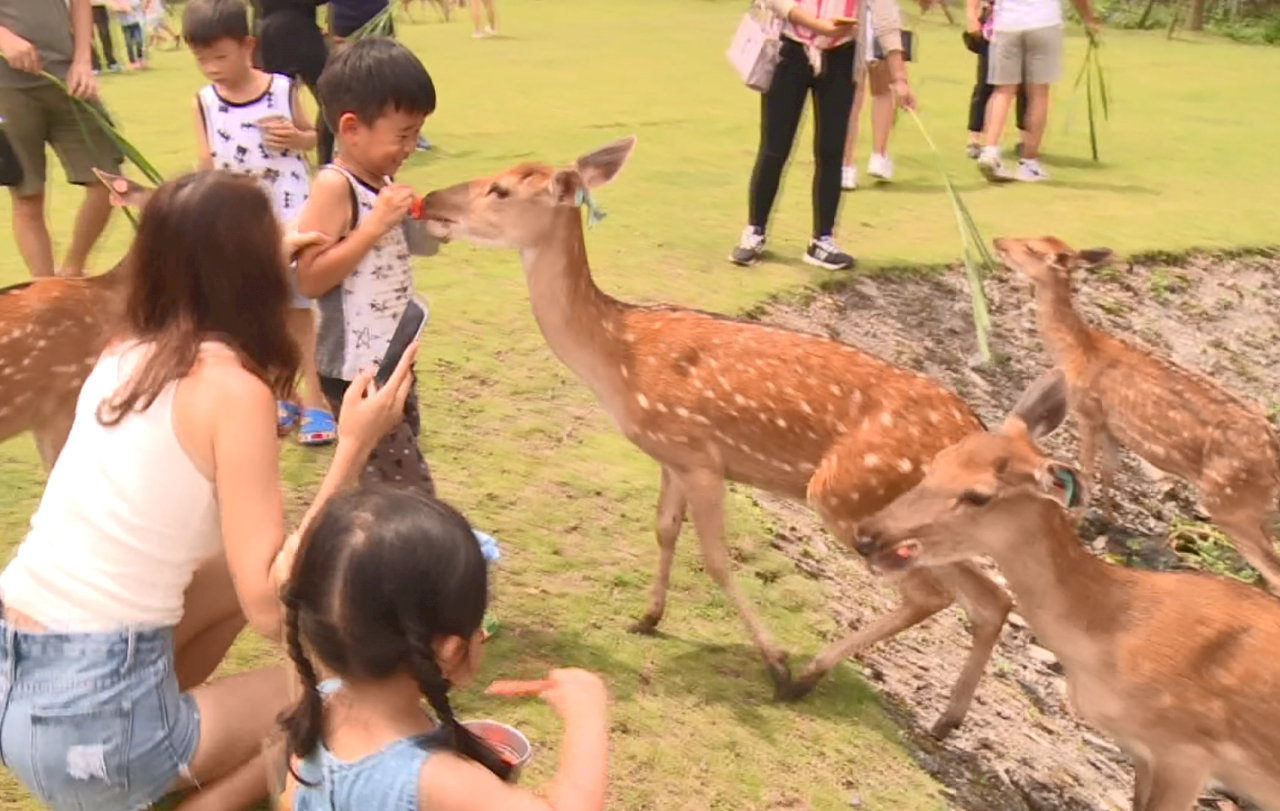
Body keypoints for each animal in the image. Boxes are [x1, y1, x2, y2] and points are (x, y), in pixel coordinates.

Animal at [419, 137, 1018, 731]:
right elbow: (664, 530)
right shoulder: (670, 457)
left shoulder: (701, 458)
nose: (429, 200)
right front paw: (647, 617)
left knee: (930, 594)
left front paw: (775, 662)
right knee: (992, 599)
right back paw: (946, 719)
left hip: (850, 496)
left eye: (500, 189)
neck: (617, 360)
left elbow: (715, 559)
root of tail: (977, 430)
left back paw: (807, 677)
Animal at [855, 365, 1280, 808]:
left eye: (978, 495)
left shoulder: (1186, 752)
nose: (868, 536)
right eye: (940, 458)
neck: (1118, 634)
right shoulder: (1142, 749)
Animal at [993, 234, 1280, 588]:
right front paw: (1107, 519)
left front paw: (1075, 521)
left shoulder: (1088, 413)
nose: (998, 241)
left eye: (1032, 248)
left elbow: (1087, 469)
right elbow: (1109, 471)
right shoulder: (1112, 428)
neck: (1077, 352)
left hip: (1231, 503)